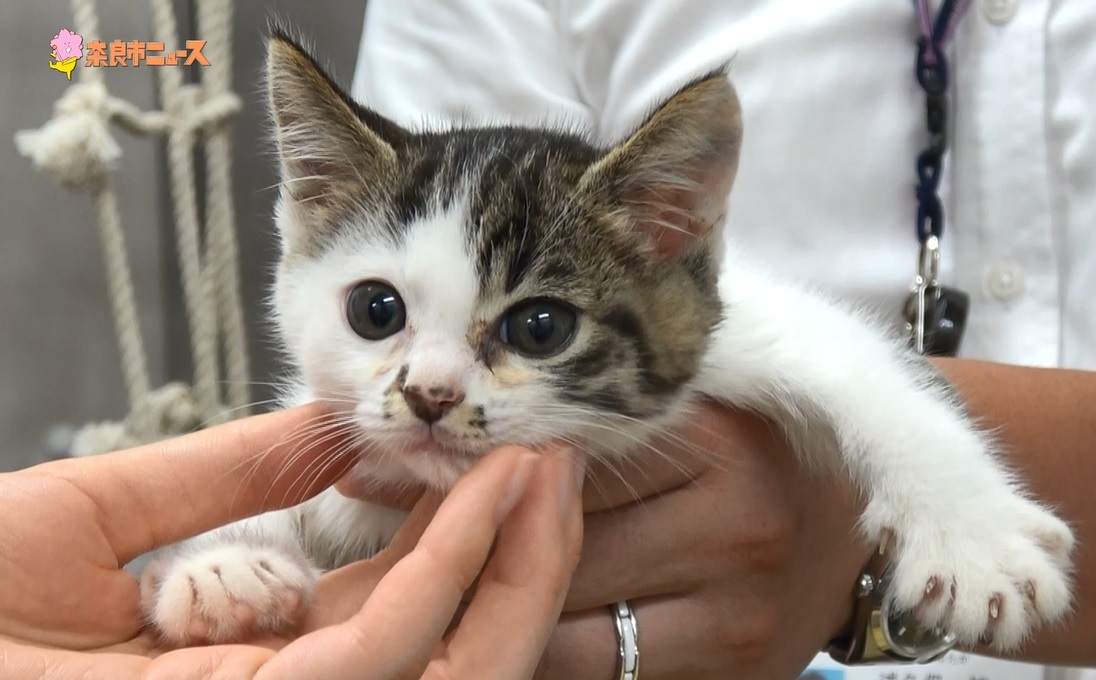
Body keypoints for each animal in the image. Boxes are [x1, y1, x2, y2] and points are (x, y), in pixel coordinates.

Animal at [137, 31, 1069, 653]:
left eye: (540, 327)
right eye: (375, 310)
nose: (430, 397)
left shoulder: (749, 326)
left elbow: (864, 368)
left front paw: (974, 543)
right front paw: (224, 567)